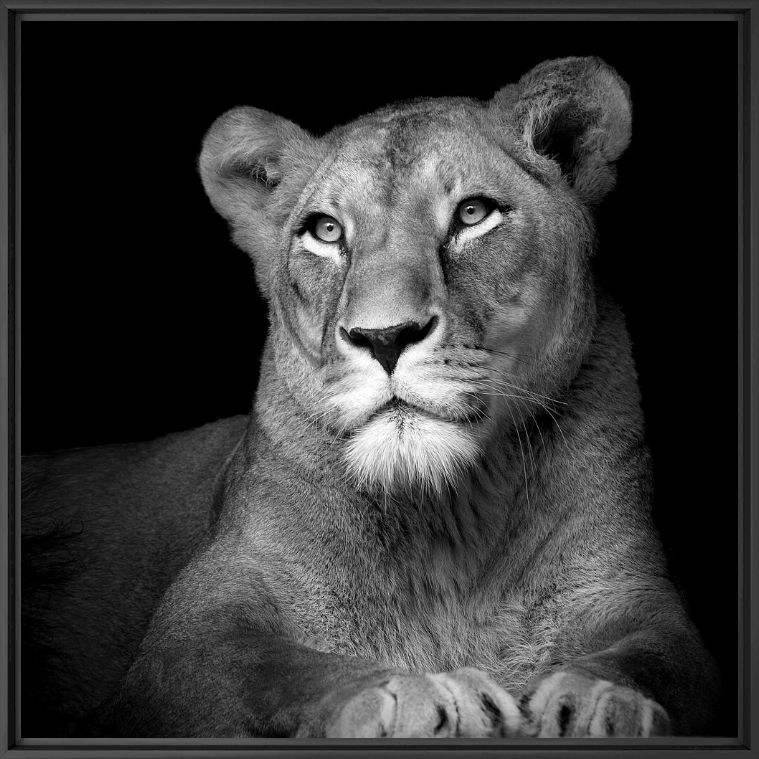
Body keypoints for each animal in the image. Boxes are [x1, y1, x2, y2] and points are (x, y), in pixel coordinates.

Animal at [22, 56, 720, 738]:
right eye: (326, 231)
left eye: (473, 214)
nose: (384, 337)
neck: (447, 524)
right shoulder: (193, 629)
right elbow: (281, 669)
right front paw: (424, 696)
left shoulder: (634, 595)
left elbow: (660, 661)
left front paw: (599, 702)